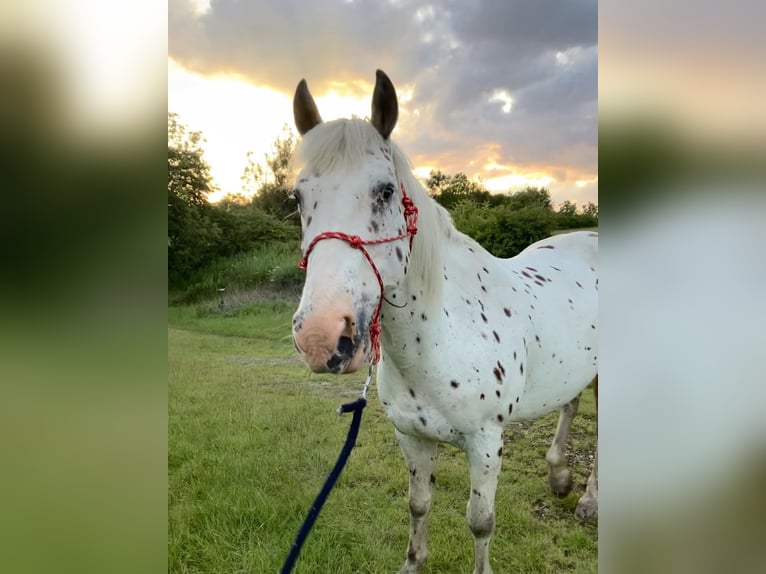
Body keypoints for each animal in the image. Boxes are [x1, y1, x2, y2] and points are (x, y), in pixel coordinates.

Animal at [292, 72, 596, 574]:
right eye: (297, 197)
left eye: (385, 191)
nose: (321, 337)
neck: (442, 338)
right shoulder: (412, 438)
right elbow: (418, 506)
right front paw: (412, 564)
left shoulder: (486, 443)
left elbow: (480, 522)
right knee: (569, 403)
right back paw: (559, 478)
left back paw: (589, 501)